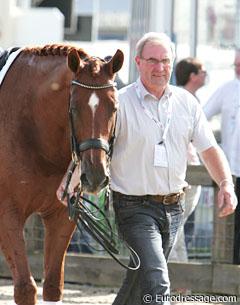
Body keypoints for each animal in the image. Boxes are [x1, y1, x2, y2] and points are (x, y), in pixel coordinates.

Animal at [0, 45, 124, 304]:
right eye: (74, 109)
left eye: (114, 108)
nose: (95, 176)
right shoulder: (6, 215)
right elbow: (25, 288)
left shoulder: (60, 217)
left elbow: (52, 284)